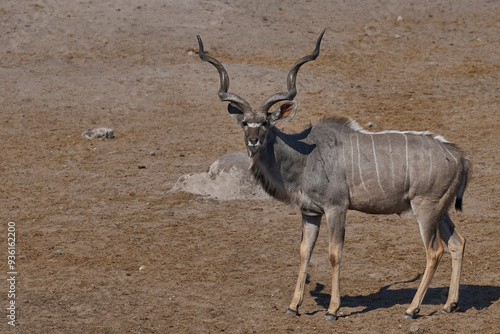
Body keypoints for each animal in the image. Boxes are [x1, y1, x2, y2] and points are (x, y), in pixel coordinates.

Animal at [197, 31, 470, 320]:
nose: (253, 141)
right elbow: (304, 252)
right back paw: (450, 304)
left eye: (266, 123)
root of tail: (460, 157)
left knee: (434, 250)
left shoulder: (336, 208)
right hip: (441, 210)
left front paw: (332, 310)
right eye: (245, 123)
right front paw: (293, 306)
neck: (304, 156)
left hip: (426, 208)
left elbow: (334, 253)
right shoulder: (310, 212)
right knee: (457, 242)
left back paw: (411, 309)